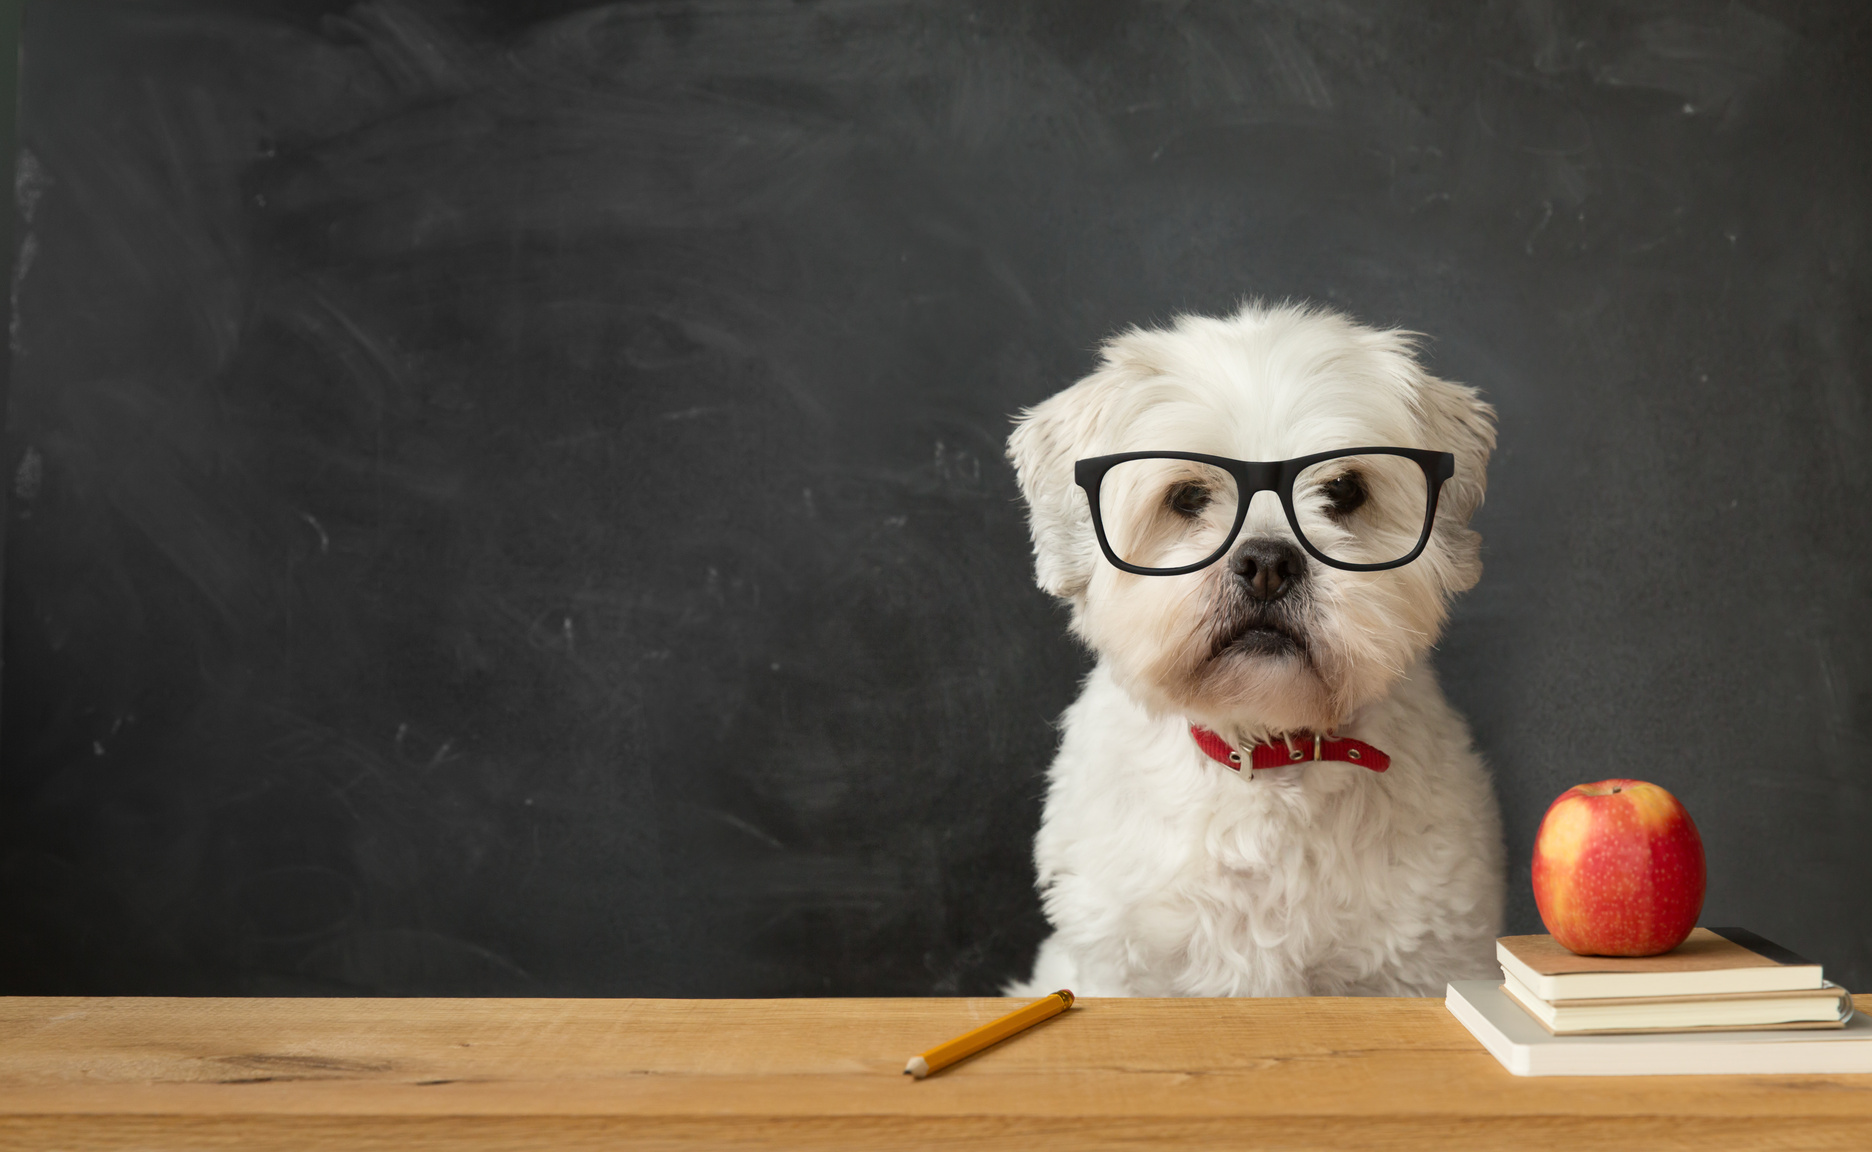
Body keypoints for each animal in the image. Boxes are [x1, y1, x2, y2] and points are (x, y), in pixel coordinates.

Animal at [1010, 307, 1505, 1004]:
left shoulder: (1427, 965)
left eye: (1344, 489)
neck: (1267, 752)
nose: (1268, 562)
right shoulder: (1120, 969)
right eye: (1188, 496)